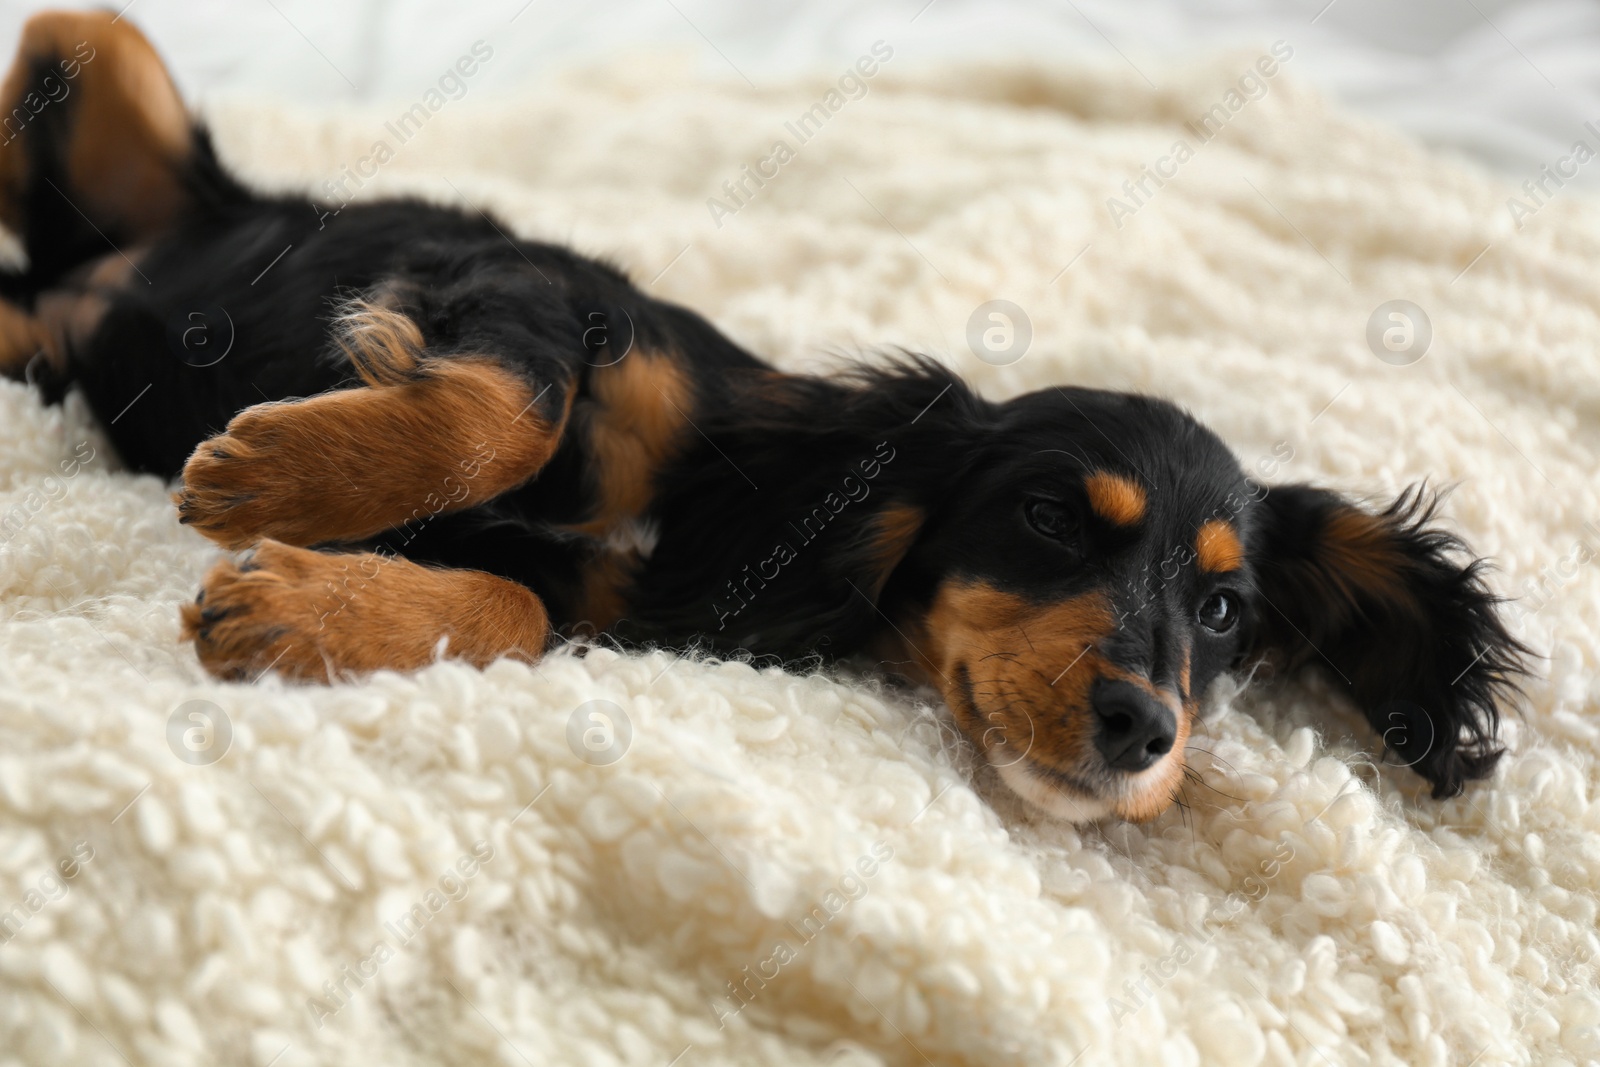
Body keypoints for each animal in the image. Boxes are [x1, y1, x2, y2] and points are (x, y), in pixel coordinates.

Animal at [0, 12, 1529, 825]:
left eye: (1223, 613)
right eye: (1046, 518)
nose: (1144, 729)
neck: (734, 499)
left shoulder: (605, 605)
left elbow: (509, 603)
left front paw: (299, 607)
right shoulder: (529, 287)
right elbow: (502, 419)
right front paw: (276, 474)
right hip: (96, 54)